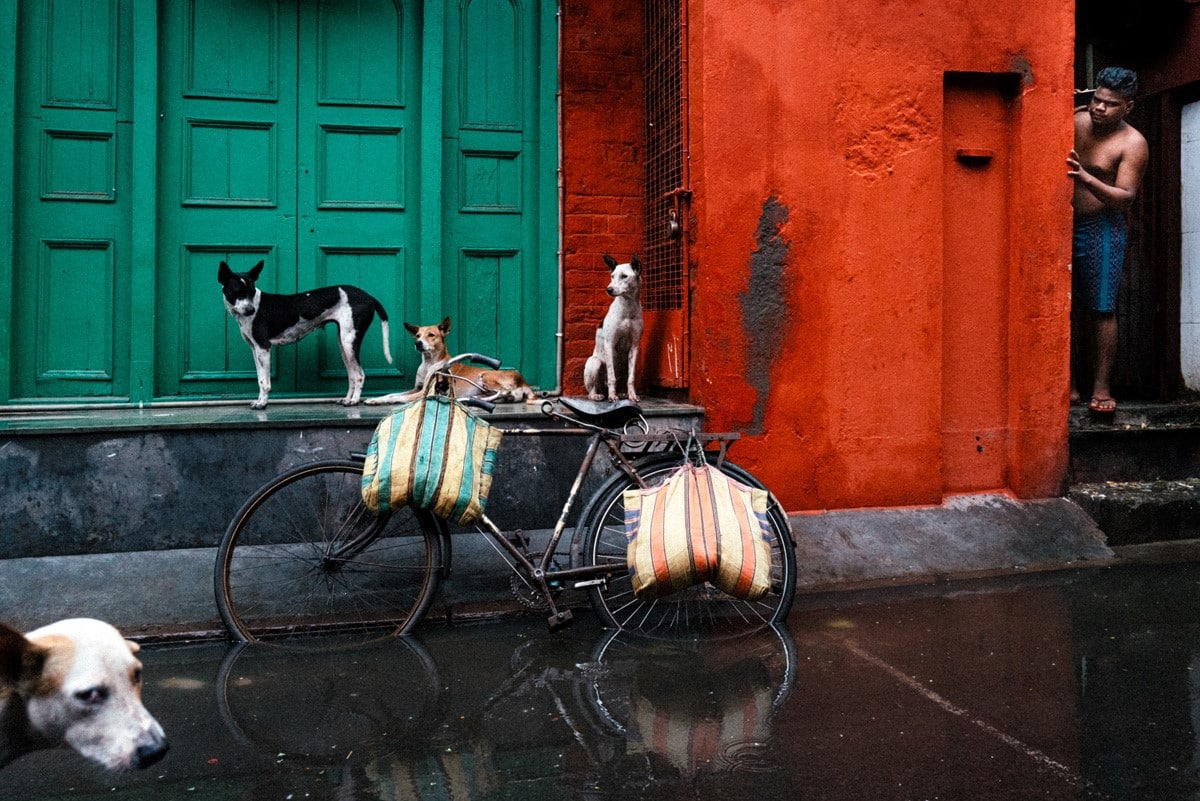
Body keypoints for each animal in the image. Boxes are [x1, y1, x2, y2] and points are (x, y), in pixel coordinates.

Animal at [216, 260, 393, 407]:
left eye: (251, 291)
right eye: (237, 292)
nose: (251, 310)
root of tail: (369, 297)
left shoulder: (263, 347)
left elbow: (264, 382)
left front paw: (262, 404)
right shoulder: (255, 350)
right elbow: (260, 378)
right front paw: (259, 401)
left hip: (349, 342)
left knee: (359, 375)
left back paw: (354, 401)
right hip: (343, 344)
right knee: (352, 375)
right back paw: (347, 399)